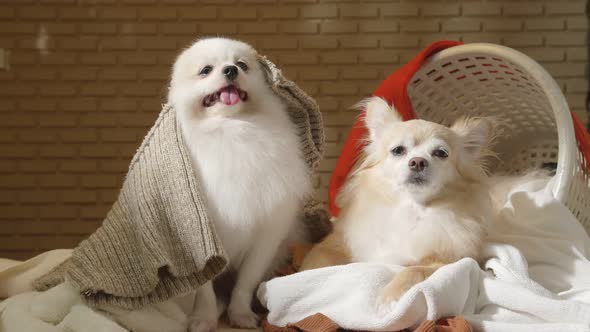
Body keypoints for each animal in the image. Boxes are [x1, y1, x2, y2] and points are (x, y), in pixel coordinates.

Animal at [166, 38, 312, 330]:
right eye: (205, 70)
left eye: (242, 65)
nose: (231, 70)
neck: (231, 129)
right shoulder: (203, 245)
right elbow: (205, 290)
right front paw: (204, 318)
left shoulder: (266, 235)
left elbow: (246, 282)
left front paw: (241, 314)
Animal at [302, 96, 498, 304]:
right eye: (398, 150)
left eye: (441, 153)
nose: (418, 162)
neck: (411, 209)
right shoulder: (343, 244)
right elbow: (320, 255)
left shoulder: (452, 262)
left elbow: (414, 270)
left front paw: (388, 297)